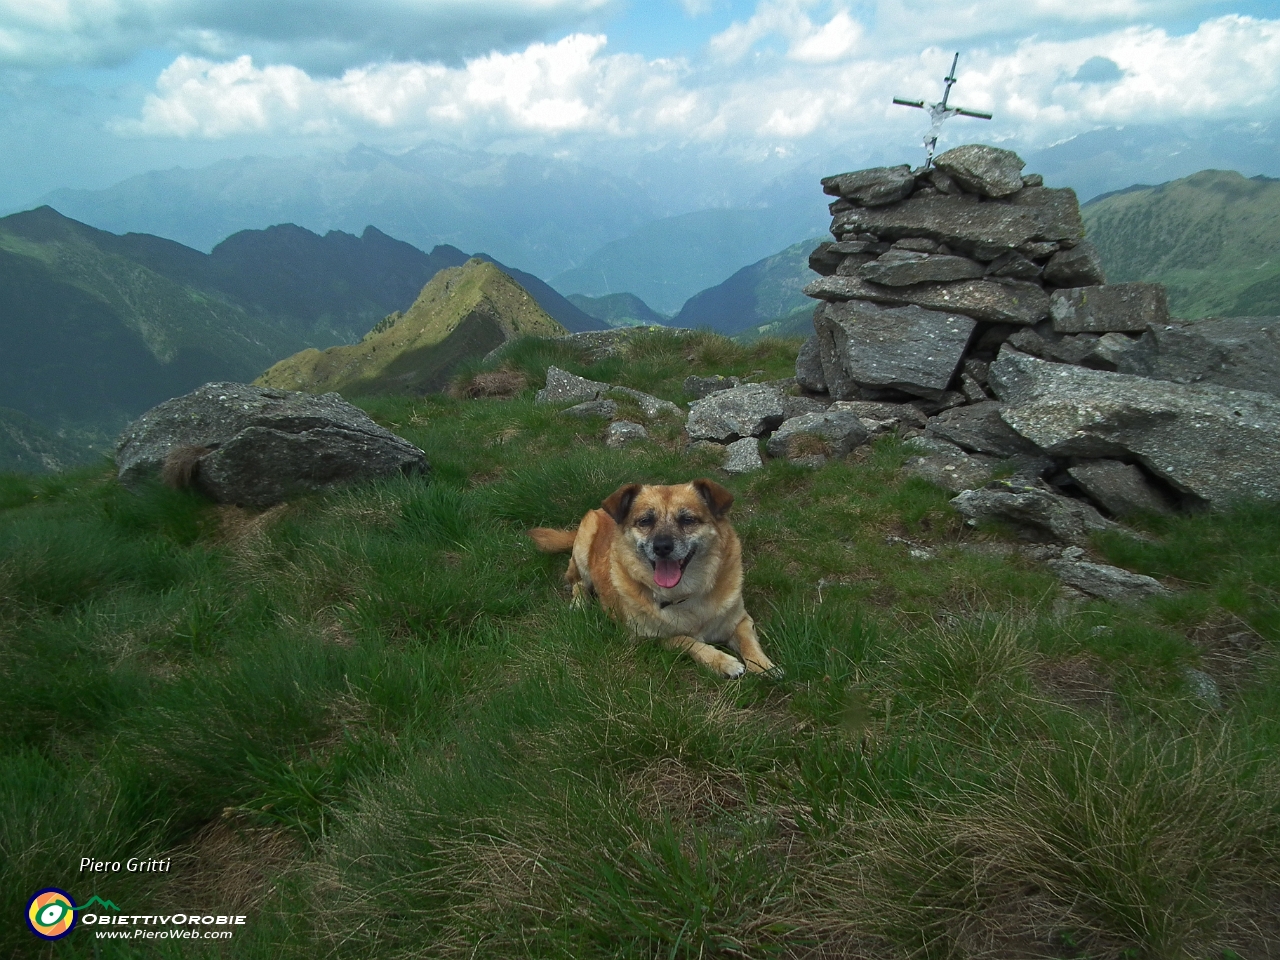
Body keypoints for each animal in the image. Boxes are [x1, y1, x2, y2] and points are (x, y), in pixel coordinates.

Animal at [524, 478, 773, 675]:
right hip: (584, 549)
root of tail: (599, 510)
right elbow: (686, 640)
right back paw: (579, 603)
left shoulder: (740, 620)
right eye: (645, 521)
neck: (685, 594)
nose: (662, 547)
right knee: (576, 582)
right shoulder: (648, 640)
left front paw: (764, 666)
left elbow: (749, 642)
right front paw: (723, 662)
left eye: (688, 520)